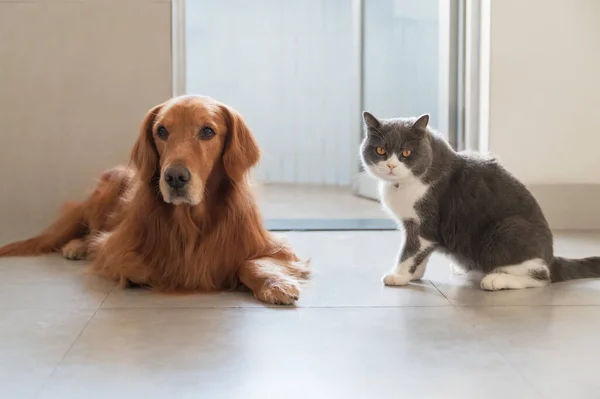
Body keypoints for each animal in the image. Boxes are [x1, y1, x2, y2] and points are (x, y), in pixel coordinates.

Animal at [0, 95, 310, 304]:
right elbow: (139, 262)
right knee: (90, 231)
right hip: (109, 187)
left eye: (208, 131)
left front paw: (276, 284)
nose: (174, 177)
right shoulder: (116, 246)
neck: (191, 220)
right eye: (161, 131)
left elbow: (253, 262)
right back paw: (77, 246)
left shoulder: (274, 248)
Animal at [358, 111, 600, 290]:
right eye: (380, 150)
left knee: (541, 275)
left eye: (406, 153)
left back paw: (496, 279)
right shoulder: (413, 226)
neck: (402, 185)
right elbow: (419, 254)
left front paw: (398, 276)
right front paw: (414, 275)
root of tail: (551, 256)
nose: (391, 165)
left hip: (507, 229)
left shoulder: (424, 225)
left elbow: (410, 252)